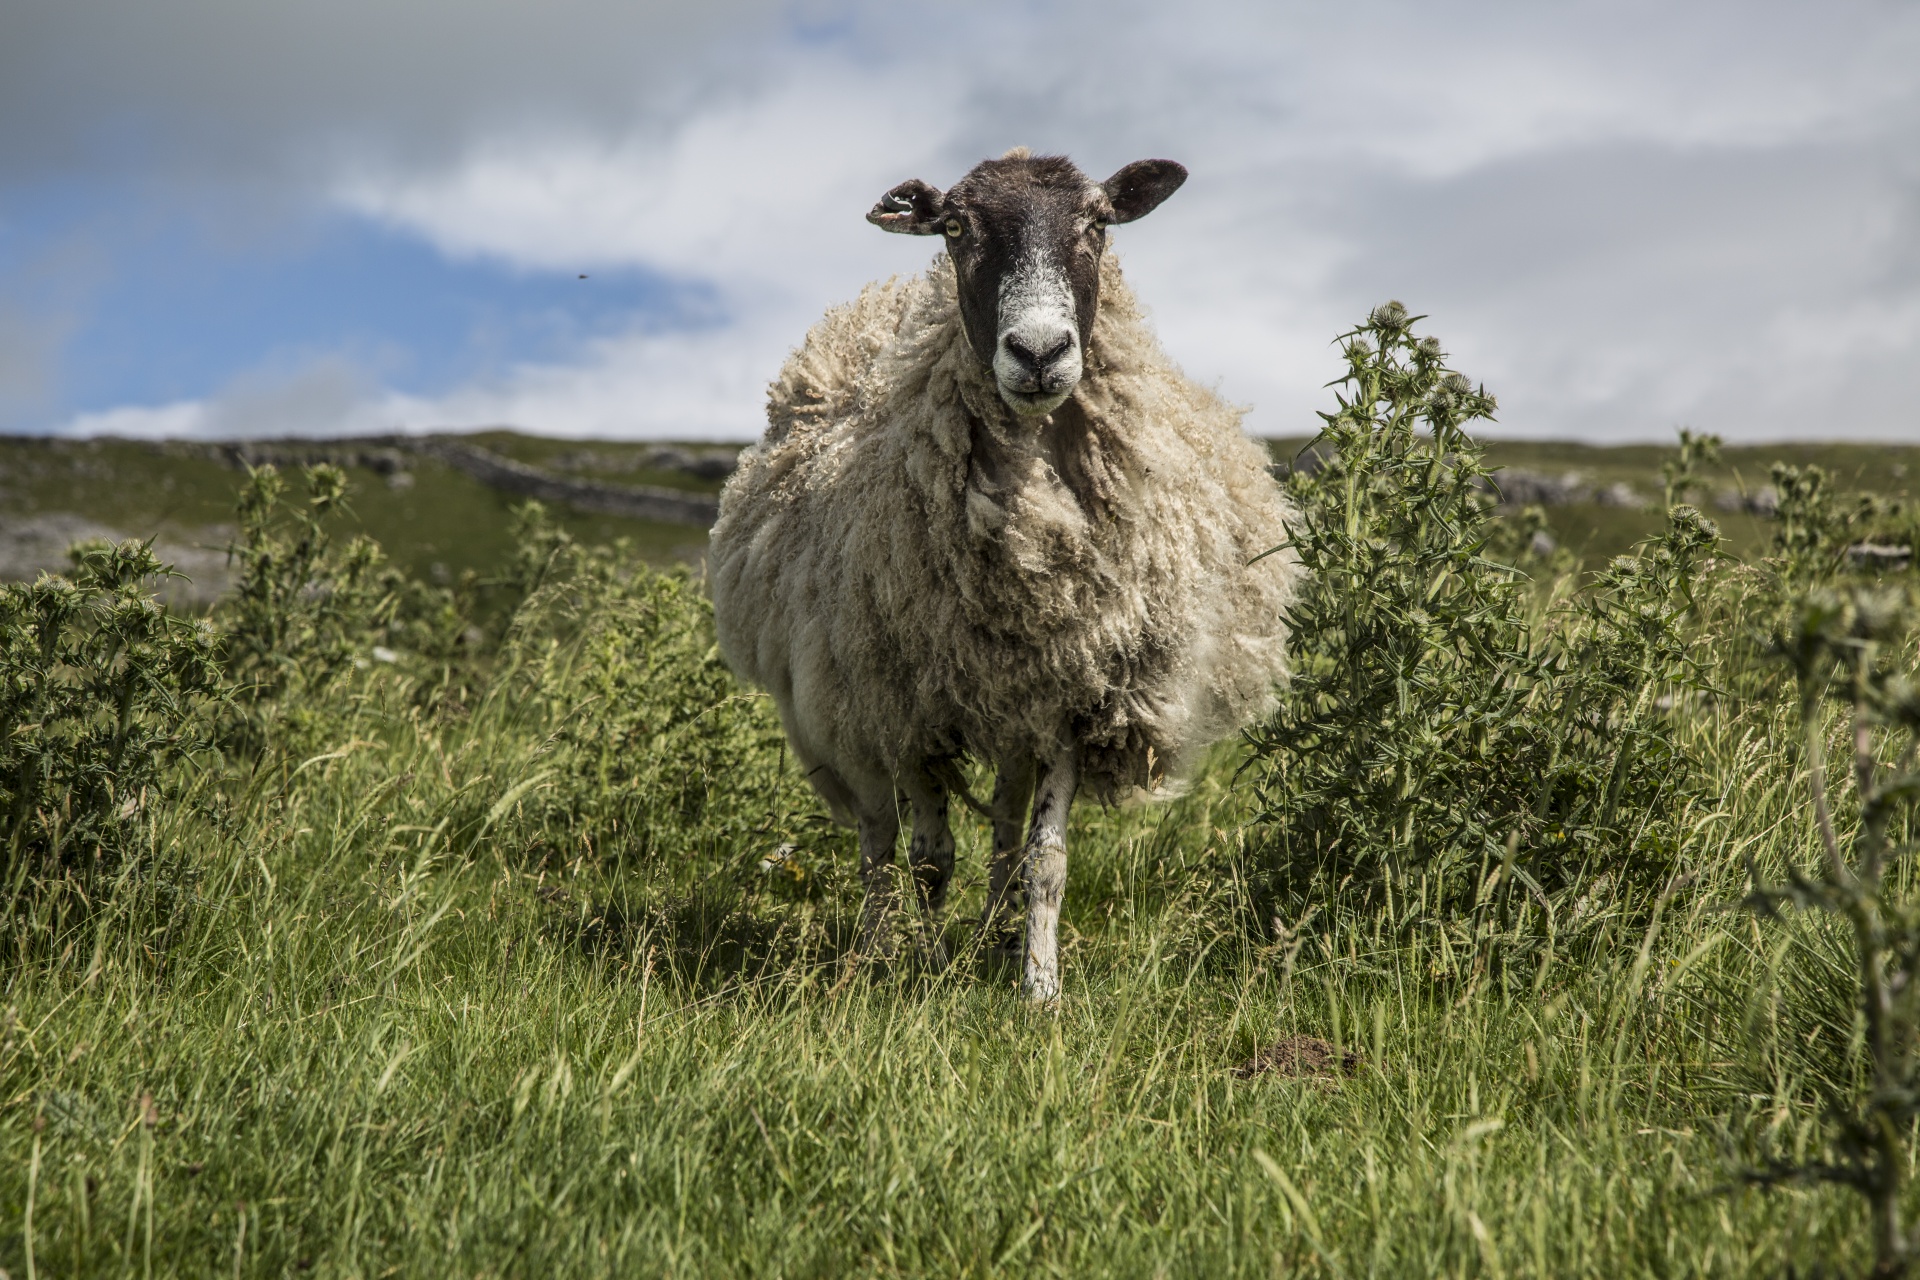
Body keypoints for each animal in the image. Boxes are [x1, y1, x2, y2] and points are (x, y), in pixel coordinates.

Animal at [710, 150, 1305, 1005]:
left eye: (1097, 222)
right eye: (956, 227)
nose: (1039, 352)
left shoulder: (1074, 692)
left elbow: (1044, 859)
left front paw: (1040, 989)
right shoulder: (907, 701)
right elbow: (928, 859)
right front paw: (923, 973)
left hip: (1010, 705)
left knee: (1002, 821)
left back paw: (993, 937)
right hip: (843, 699)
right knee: (877, 838)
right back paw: (877, 953)